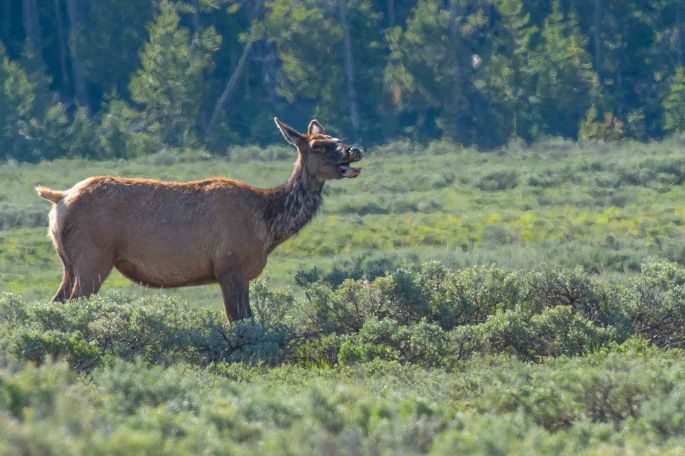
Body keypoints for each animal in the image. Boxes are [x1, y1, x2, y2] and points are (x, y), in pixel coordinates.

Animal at [35, 118, 363, 323]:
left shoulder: (239, 274)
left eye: (337, 137)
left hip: (68, 263)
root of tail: (59, 199)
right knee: (74, 302)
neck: (268, 225)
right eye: (317, 145)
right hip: (93, 258)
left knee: (57, 301)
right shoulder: (230, 266)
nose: (354, 149)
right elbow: (239, 321)